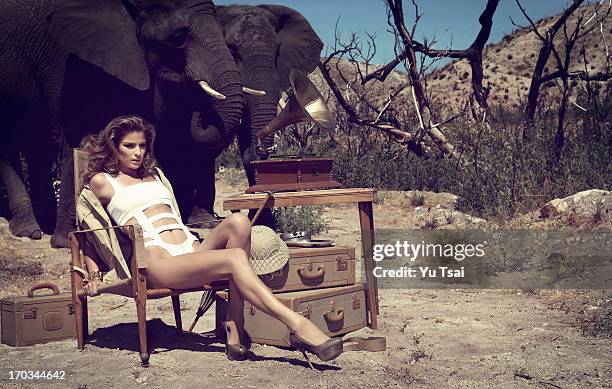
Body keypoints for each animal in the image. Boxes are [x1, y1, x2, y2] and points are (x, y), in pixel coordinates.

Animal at [1, 0, 246, 247]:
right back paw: (29, 230)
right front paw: (67, 241)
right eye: (178, 38)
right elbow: (76, 133)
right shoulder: (68, 58)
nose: (199, 103)